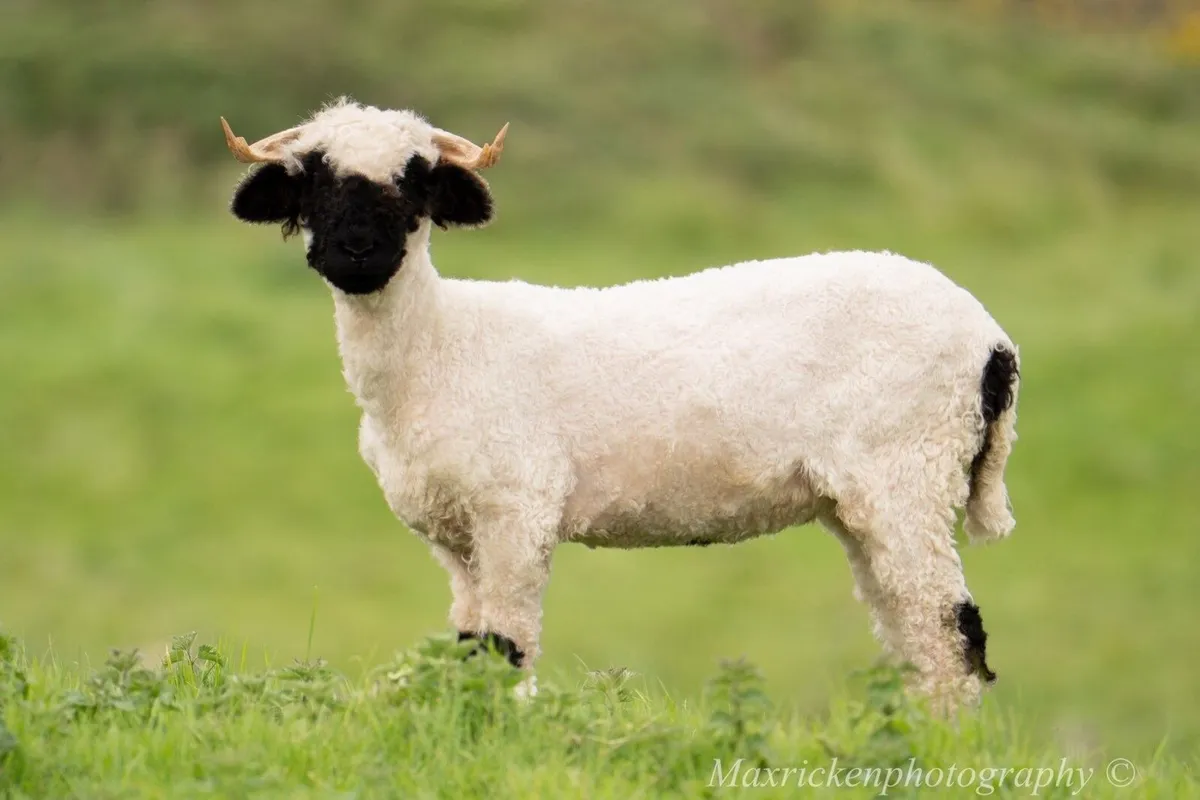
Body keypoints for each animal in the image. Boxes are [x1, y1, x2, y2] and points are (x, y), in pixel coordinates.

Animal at [220, 98, 1020, 709]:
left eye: (415, 182)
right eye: (311, 179)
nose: (357, 252)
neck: (441, 349)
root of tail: (993, 343)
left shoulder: (517, 510)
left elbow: (508, 646)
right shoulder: (453, 536)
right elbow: (469, 647)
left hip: (908, 473)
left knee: (951, 634)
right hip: (865, 503)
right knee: (911, 633)